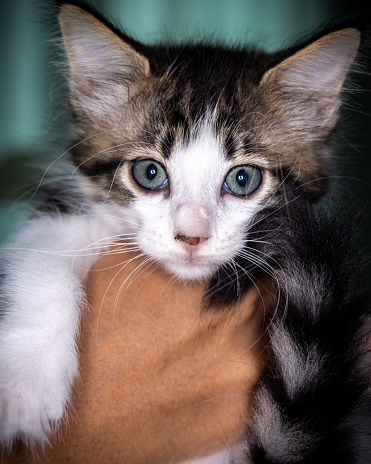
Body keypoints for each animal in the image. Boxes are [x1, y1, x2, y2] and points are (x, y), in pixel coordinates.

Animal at [0, 1, 370, 462]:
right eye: (149, 173)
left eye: (243, 179)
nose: (192, 238)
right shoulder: (67, 209)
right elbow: (43, 257)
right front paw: (26, 385)